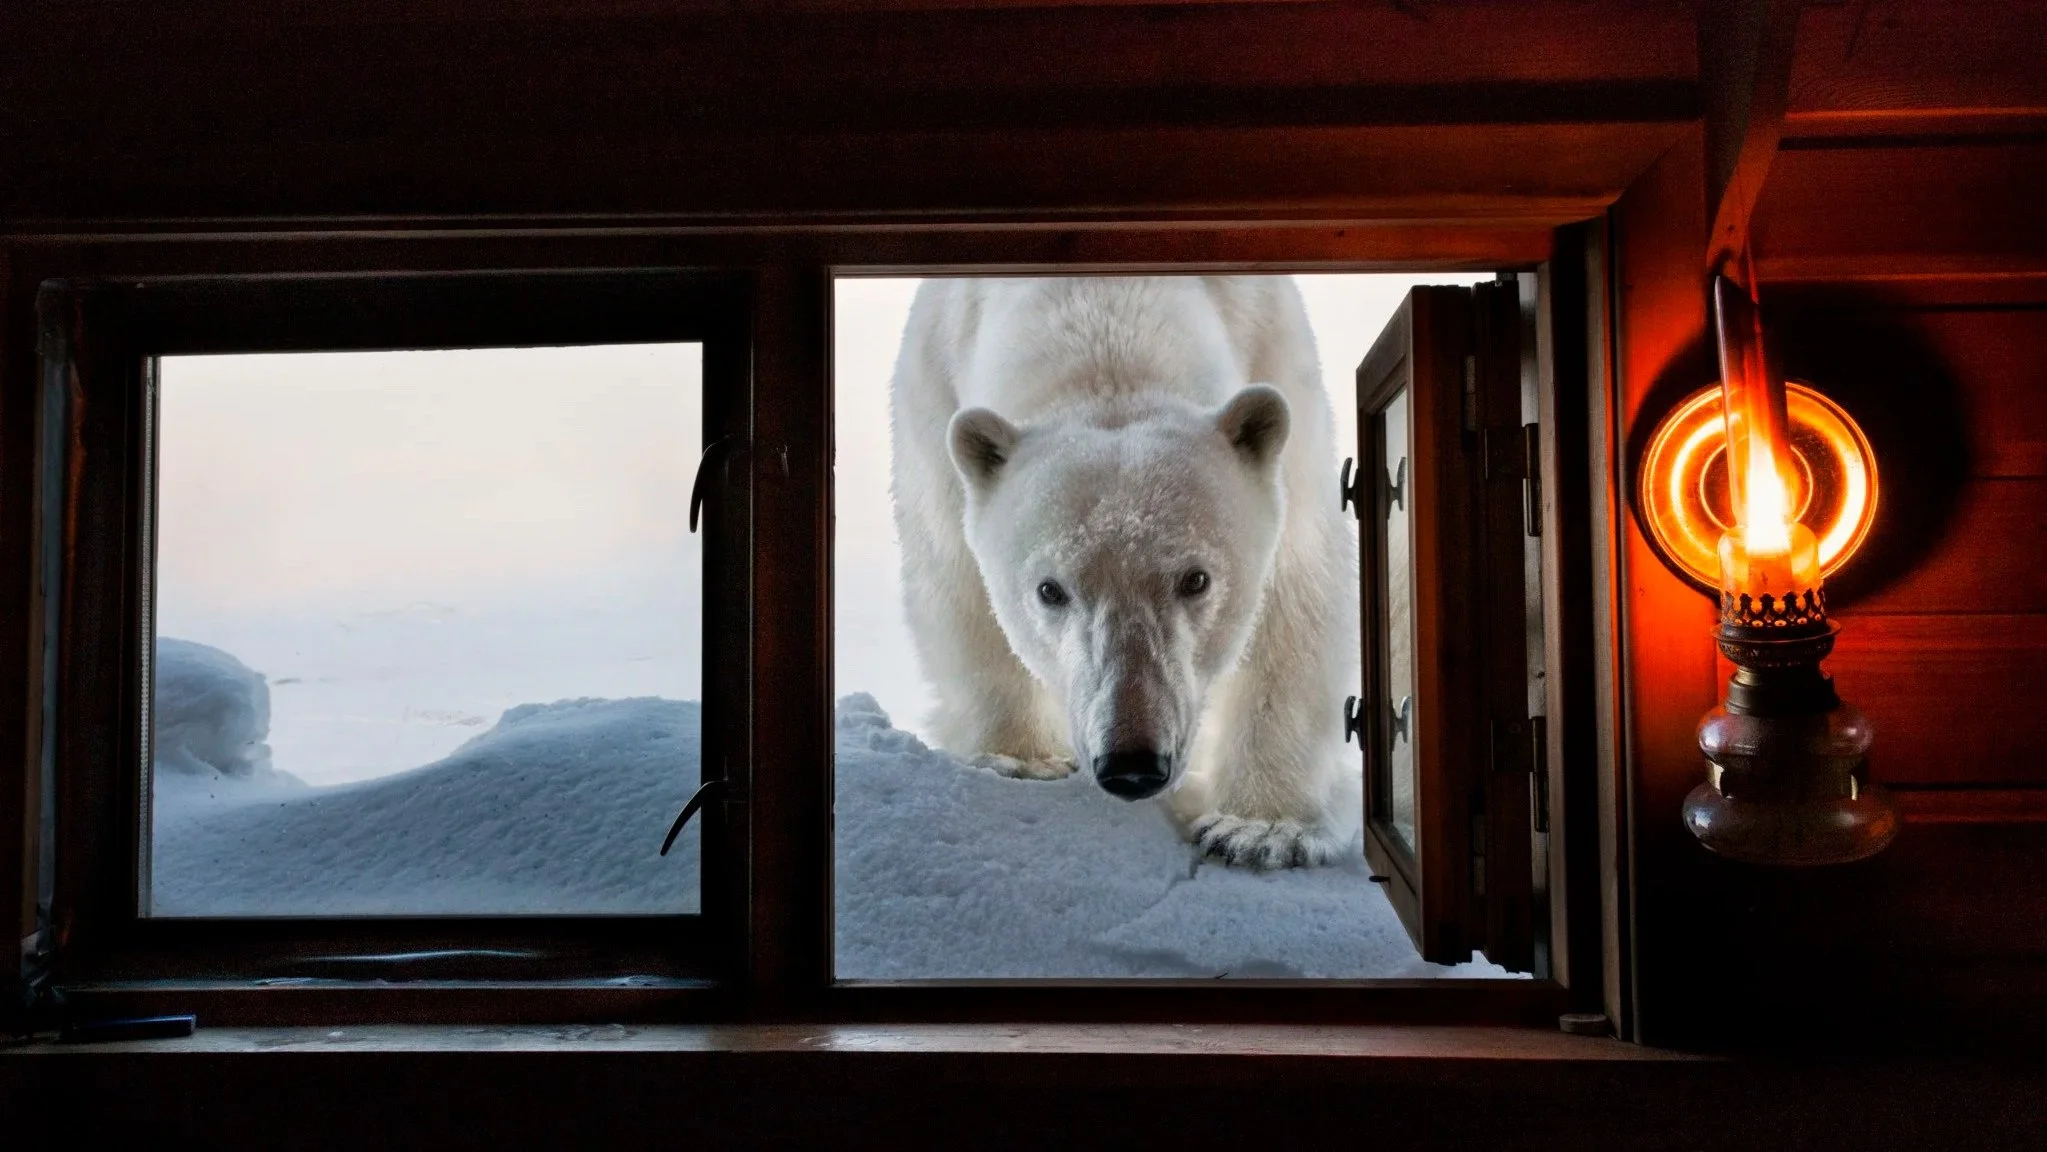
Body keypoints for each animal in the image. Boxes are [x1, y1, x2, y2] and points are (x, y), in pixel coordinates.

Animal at [889, 276, 1360, 869]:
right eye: (1050, 590)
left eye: (1196, 579)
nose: (1132, 763)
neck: (1103, 300)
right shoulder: (933, 397)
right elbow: (957, 581)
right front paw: (1021, 758)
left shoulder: (1278, 363)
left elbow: (1295, 595)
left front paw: (1260, 830)